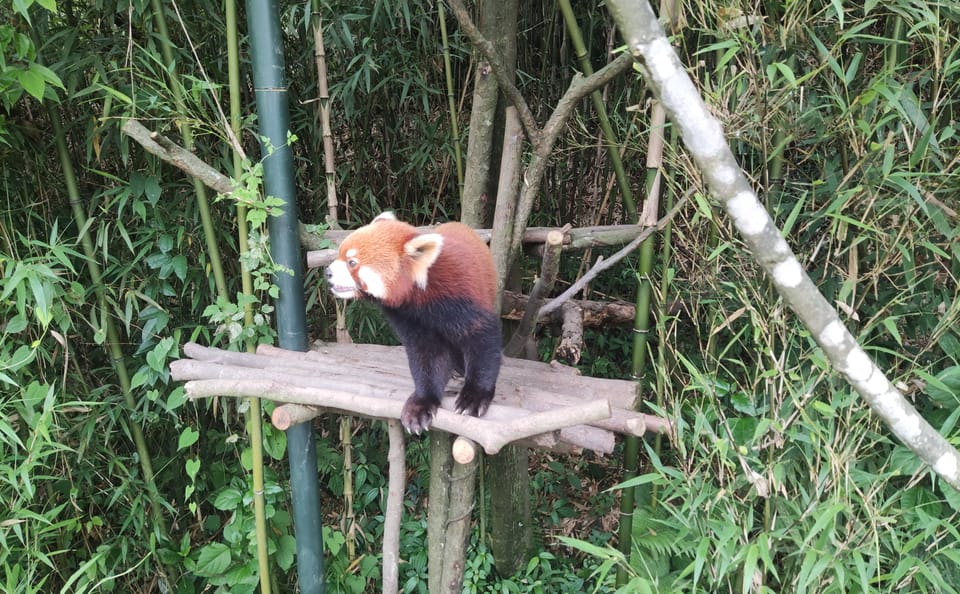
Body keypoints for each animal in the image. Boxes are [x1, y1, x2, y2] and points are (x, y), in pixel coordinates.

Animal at [325, 212, 501, 433]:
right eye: (340, 255)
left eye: (352, 262)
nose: (327, 273)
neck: (418, 294)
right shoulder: (406, 316)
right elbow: (426, 354)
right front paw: (422, 403)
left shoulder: (460, 295)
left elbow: (482, 338)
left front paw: (474, 396)